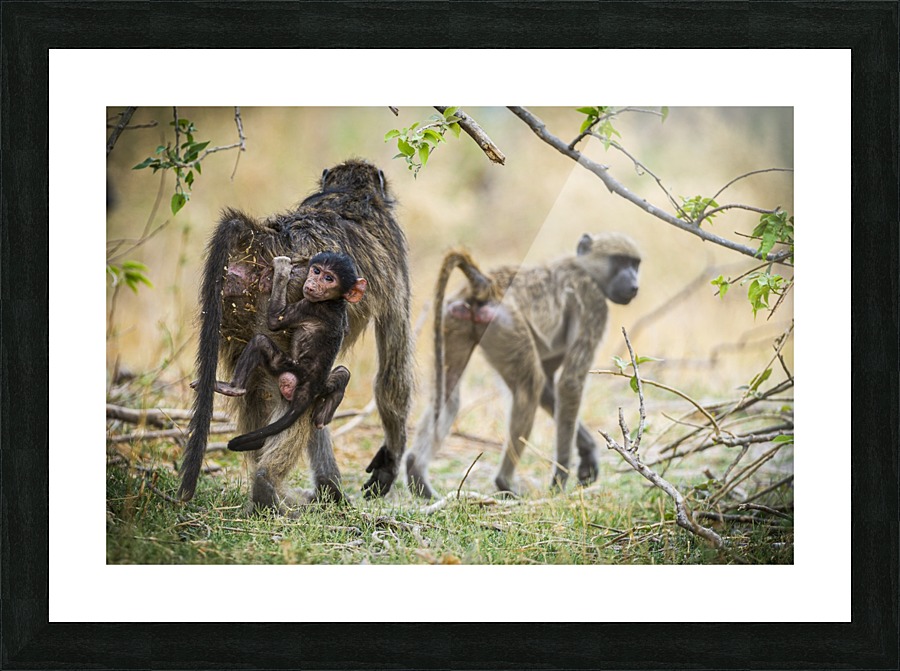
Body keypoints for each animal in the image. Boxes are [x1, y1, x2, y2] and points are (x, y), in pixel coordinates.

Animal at [211, 252, 367, 452]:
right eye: (317, 271)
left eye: (329, 278)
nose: (312, 283)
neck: (334, 301)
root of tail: (310, 388)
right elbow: (345, 329)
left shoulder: (310, 307)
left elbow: (274, 321)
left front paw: (282, 271)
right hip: (324, 384)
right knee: (342, 373)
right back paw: (326, 411)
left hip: (288, 367)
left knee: (260, 342)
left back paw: (232, 388)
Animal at [405, 232, 641, 499]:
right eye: (620, 261)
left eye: (635, 264)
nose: (634, 285)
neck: (585, 269)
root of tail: (486, 285)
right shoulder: (594, 304)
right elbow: (569, 383)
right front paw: (560, 479)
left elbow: (550, 387)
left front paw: (587, 453)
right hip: (505, 324)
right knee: (529, 388)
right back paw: (504, 482)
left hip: (455, 317)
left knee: (449, 394)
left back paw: (416, 474)